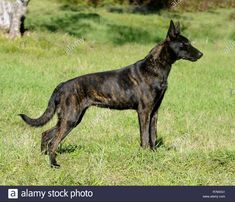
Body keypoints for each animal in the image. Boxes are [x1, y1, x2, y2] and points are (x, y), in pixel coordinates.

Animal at [19, 20, 203, 168]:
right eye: (184, 44)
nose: (201, 54)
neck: (156, 67)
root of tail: (62, 85)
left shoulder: (154, 112)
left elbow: (153, 136)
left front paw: (153, 155)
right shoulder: (144, 112)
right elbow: (144, 137)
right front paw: (144, 157)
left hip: (70, 118)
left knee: (46, 134)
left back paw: (43, 158)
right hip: (70, 118)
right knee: (53, 142)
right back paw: (53, 164)